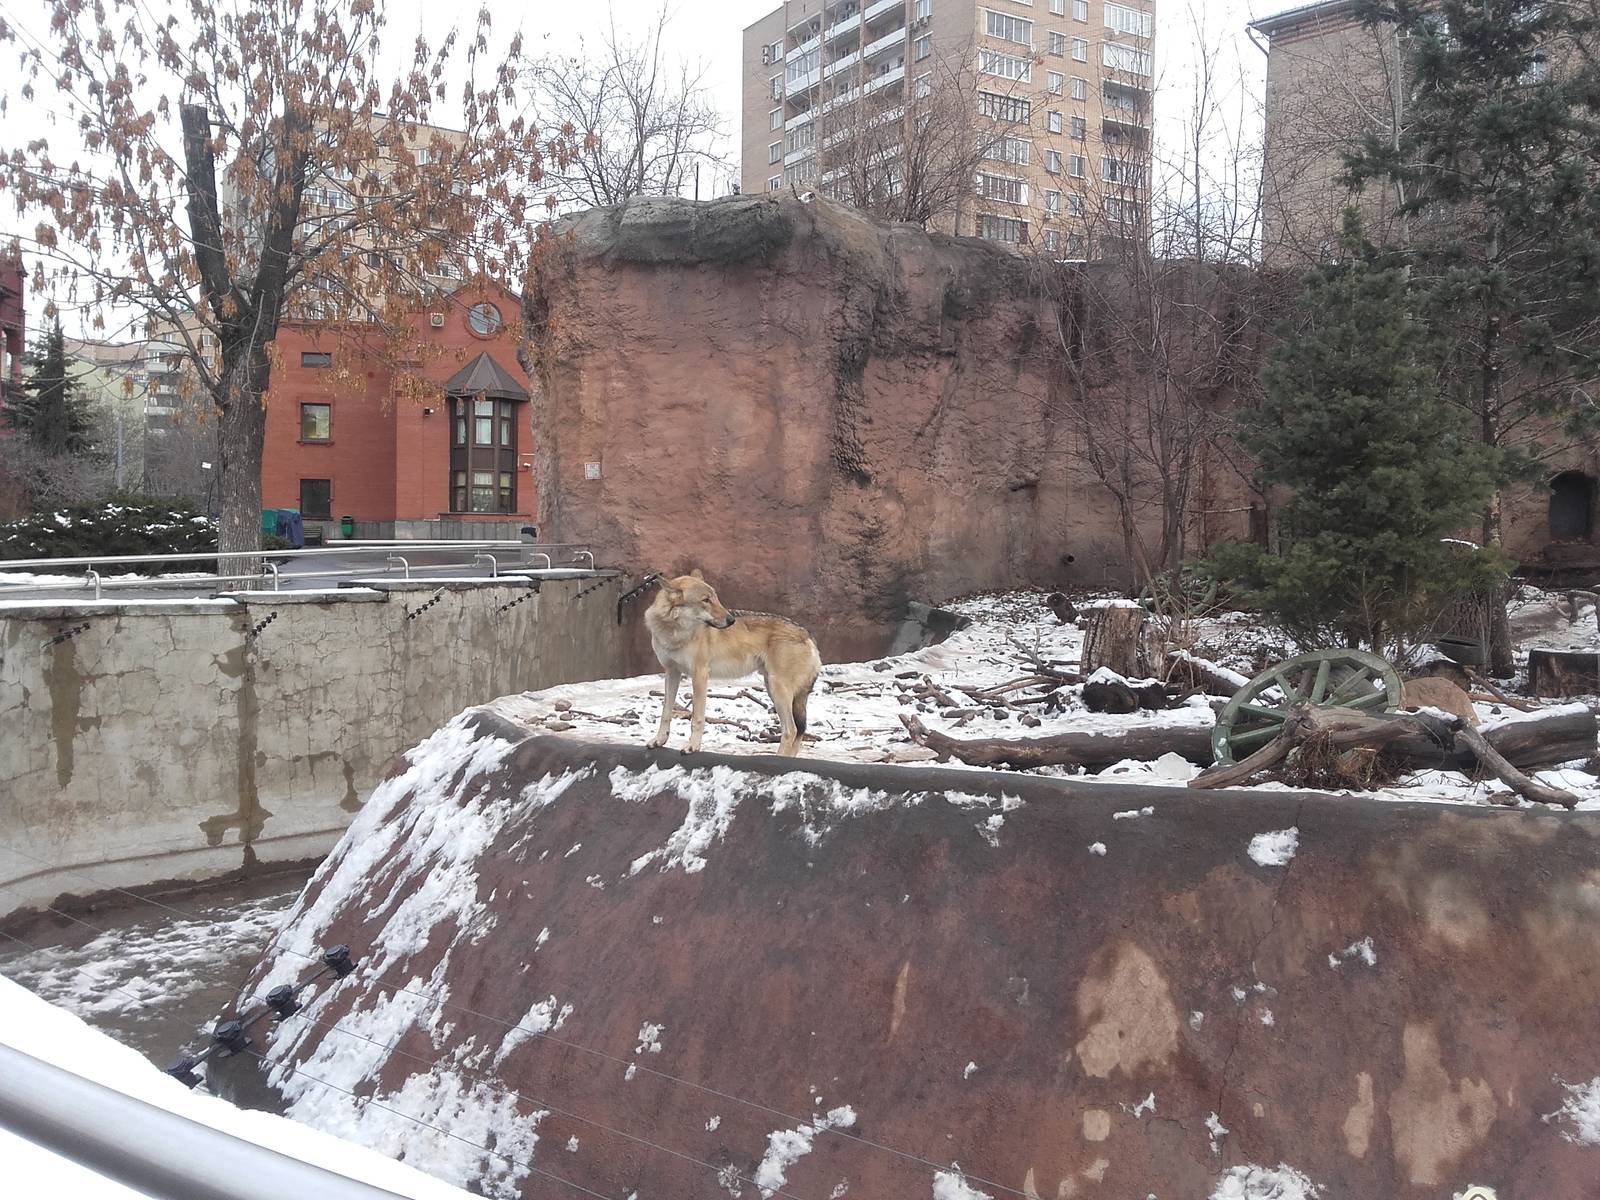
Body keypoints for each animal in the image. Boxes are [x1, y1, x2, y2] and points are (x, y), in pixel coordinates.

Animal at [643, 570, 822, 757]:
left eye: (715, 598)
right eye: (706, 600)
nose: (731, 620)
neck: (674, 633)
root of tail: (808, 635)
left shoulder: (700, 675)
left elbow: (697, 718)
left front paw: (692, 746)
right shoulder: (671, 672)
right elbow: (666, 712)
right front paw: (659, 740)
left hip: (778, 690)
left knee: (791, 730)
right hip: (774, 690)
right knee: (798, 731)